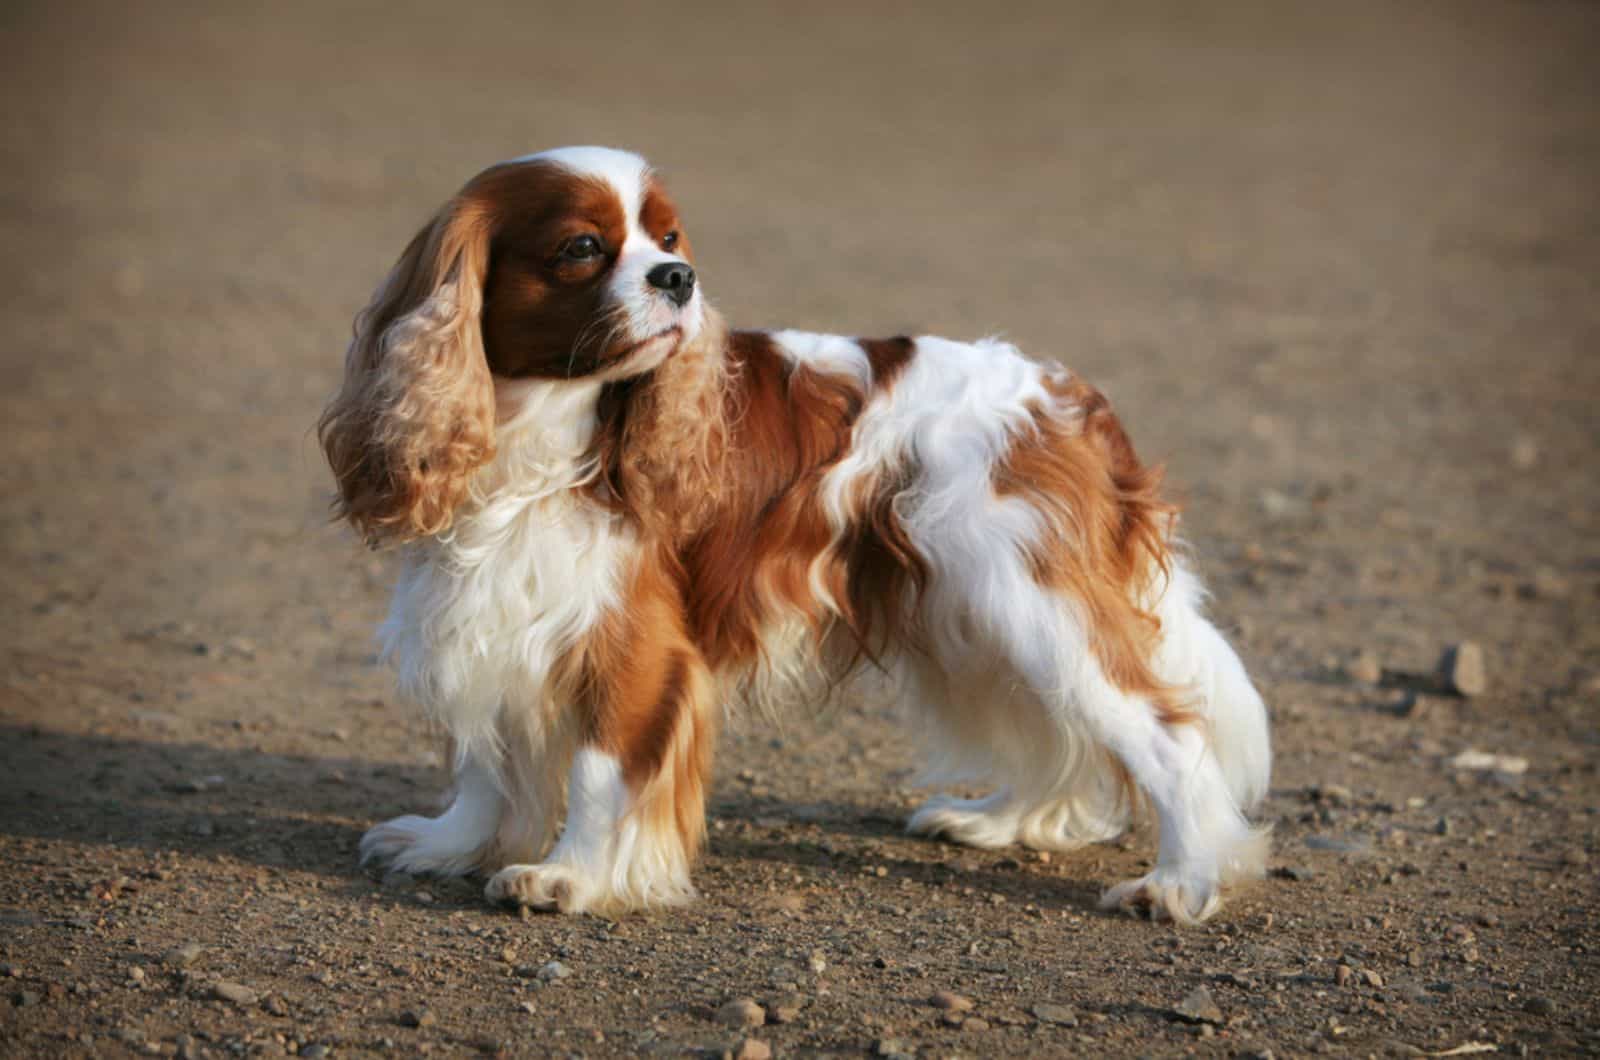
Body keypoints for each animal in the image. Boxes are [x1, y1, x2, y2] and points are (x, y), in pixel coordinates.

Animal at [321, 145, 1273, 928]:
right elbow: (485, 760)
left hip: (1030, 599)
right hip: (977, 615)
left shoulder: (631, 634)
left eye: (669, 236)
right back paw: (998, 821)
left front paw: (572, 877)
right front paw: (452, 843)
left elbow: (600, 767)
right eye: (584, 247)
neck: (539, 432)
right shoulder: (484, 605)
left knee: (1168, 735)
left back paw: (1181, 883)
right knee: (1059, 731)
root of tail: (1069, 398)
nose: (679, 276)